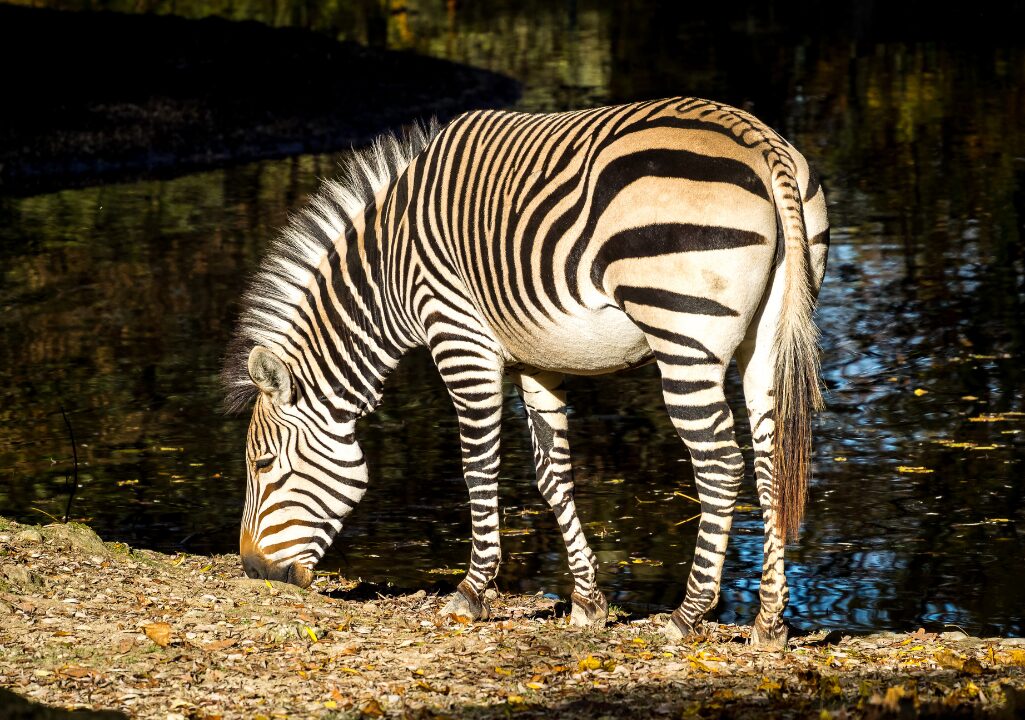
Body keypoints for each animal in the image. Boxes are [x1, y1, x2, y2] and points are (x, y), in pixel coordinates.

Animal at [223, 97, 828, 646]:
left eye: (262, 464)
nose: (252, 571)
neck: (389, 272)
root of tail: (757, 140)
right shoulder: (538, 360)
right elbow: (551, 473)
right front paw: (587, 602)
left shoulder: (458, 337)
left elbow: (478, 466)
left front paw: (471, 594)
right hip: (766, 338)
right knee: (771, 462)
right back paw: (769, 623)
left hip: (682, 334)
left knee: (720, 464)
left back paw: (687, 615)